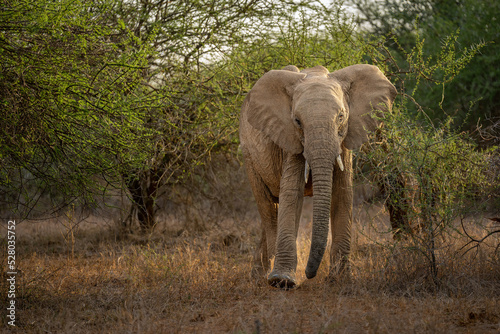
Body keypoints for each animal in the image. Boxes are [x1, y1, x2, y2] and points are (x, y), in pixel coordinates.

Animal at [240, 64, 396, 288]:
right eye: (297, 121)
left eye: (341, 117)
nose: (309, 274)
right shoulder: (290, 139)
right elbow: (292, 195)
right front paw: (282, 282)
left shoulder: (344, 141)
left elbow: (342, 195)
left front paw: (341, 280)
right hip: (249, 156)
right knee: (268, 207)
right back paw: (267, 275)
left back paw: (259, 274)